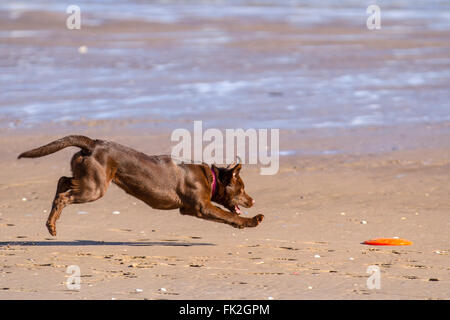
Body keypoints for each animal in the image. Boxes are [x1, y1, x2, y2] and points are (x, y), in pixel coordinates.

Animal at [17, 135, 264, 235]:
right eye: (242, 189)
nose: (253, 200)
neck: (211, 178)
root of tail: (92, 144)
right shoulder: (201, 208)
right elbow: (229, 215)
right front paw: (251, 221)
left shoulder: (190, 209)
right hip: (94, 188)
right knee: (64, 196)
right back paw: (51, 226)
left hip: (87, 179)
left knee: (62, 181)